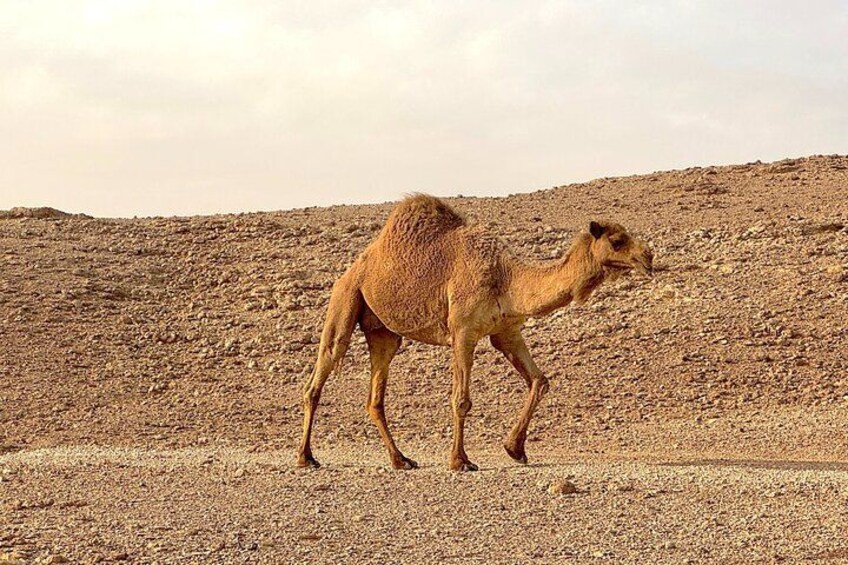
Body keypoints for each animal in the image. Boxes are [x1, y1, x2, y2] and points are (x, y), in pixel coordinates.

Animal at [297, 194, 653, 471]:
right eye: (617, 241)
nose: (647, 257)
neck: (506, 278)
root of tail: (356, 266)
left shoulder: (506, 331)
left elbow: (539, 380)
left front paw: (515, 449)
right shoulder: (463, 331)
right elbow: (461, 399)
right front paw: (460, 461)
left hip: (383, 332)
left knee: (375, 396)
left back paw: (401, 460)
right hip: (344, 300)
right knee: (320, 373)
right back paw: (306, 458)